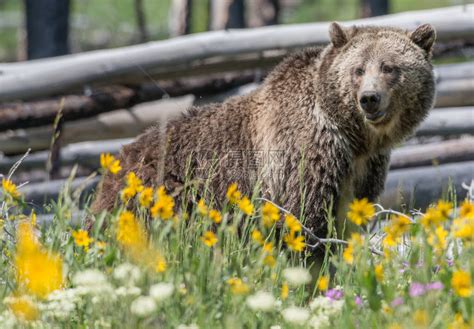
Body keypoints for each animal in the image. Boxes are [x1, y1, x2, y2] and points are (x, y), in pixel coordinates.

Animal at [90, 22, 436, 236]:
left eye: (390, 67)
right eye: (358, 69)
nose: (369, 99)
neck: (354, 137)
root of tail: (117, 163)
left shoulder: (365, 169)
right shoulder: (307, 155)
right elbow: (306, 218)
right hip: (158, 195)